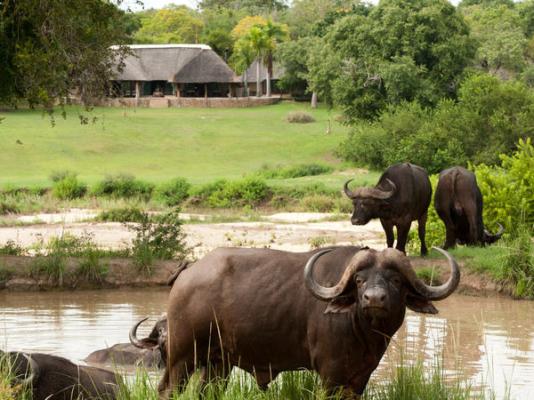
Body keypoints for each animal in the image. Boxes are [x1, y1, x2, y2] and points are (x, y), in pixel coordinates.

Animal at [160, 245, 460, 398]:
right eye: (359, 280)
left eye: (396, 279)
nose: (374, 298)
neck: (364, 335)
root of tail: (187, 272)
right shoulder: (330, 374)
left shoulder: (360, 378)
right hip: (181, 356)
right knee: (168, 390)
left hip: (219, 363)